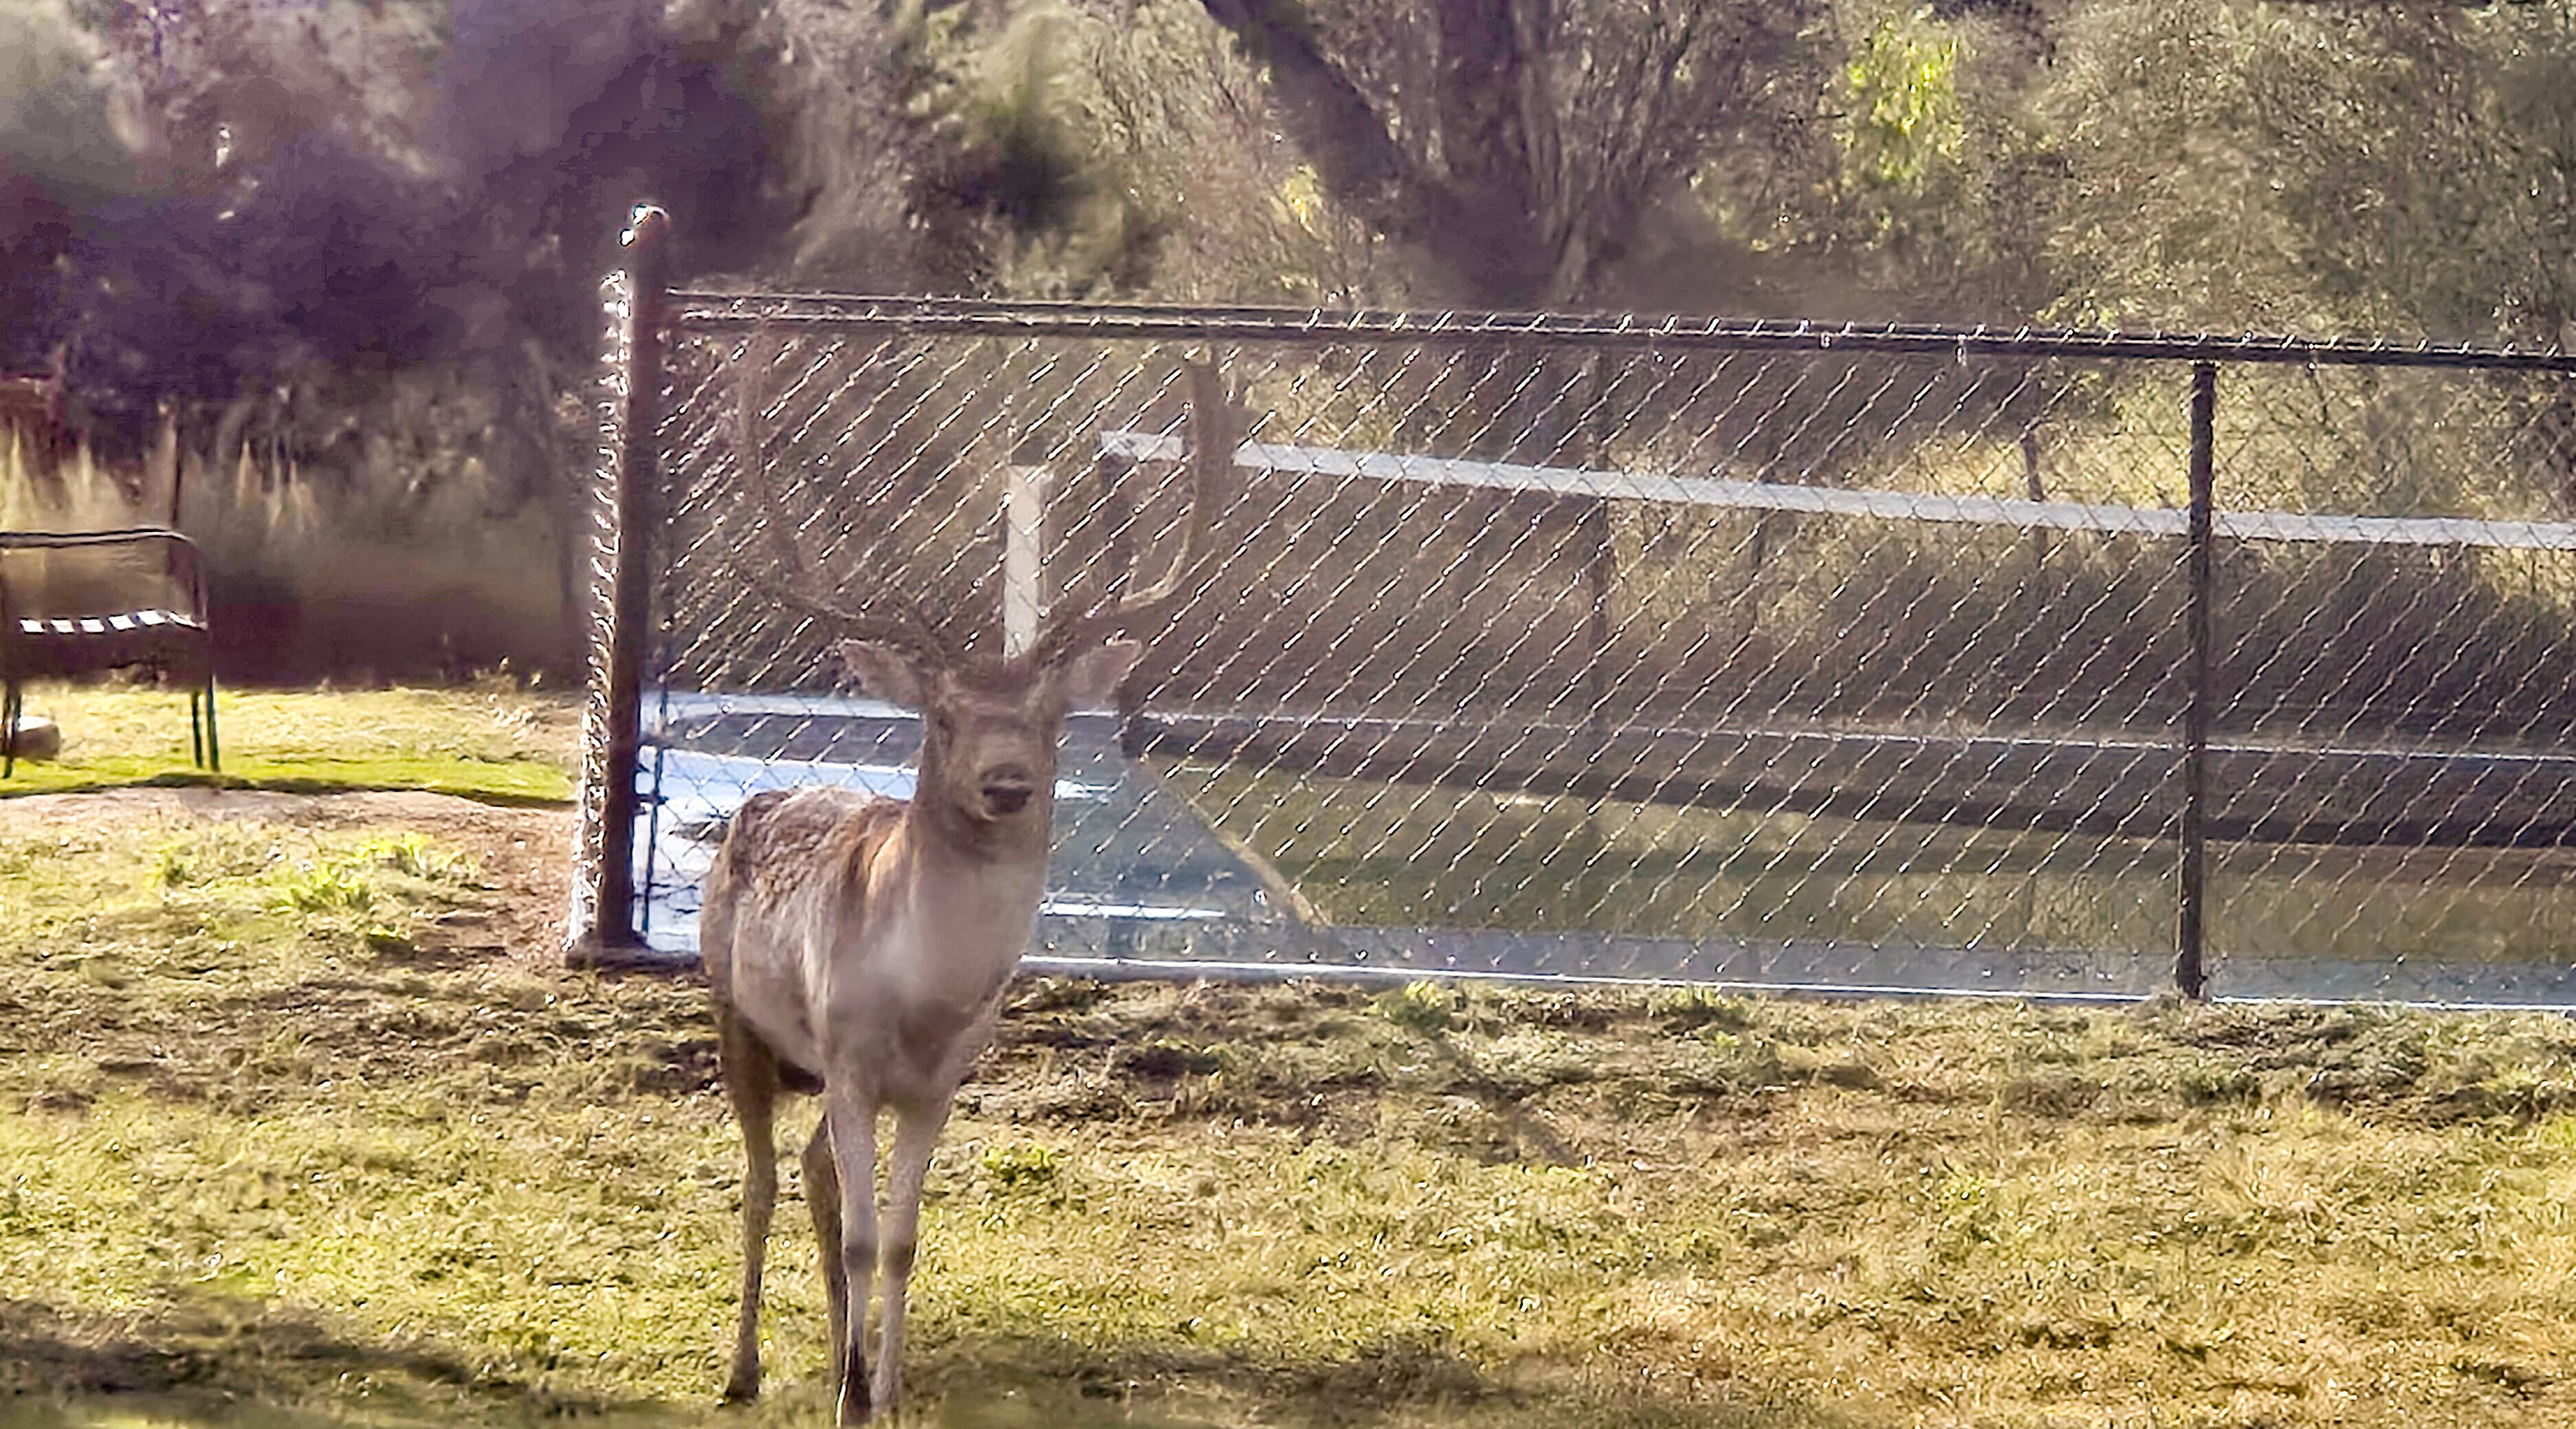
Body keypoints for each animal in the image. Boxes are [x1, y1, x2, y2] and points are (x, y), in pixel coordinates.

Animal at [699, 359, 1239, 1423]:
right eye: (944, 715)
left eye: (1051, 715)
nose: (1006, 782)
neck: (924, 1003)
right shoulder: (851, 1059)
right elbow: (862, 1234)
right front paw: (854, 1396)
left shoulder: (937, 1082)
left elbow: (899, 1241)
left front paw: (884, 1392)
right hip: (736, 1010)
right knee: (761, 1178)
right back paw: (743, 1369)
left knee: (816, 1172)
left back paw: (839, 1360)